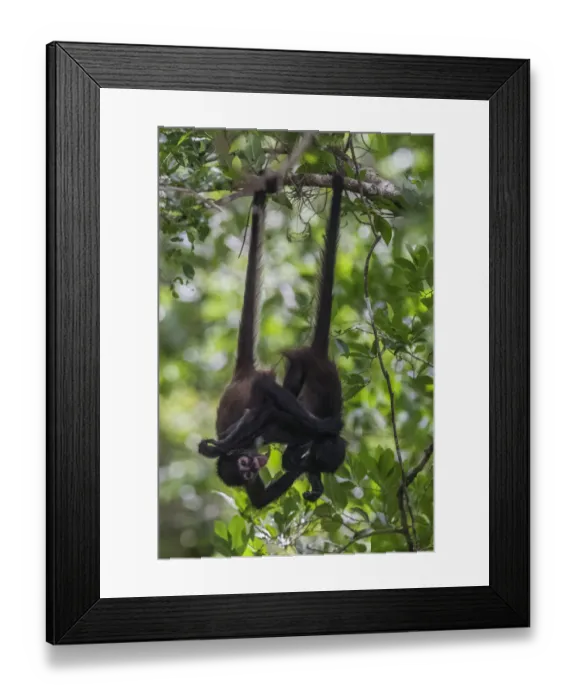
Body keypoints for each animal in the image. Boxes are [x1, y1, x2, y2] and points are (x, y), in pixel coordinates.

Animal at [200, 173, 347, 506]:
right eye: (244, 472)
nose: (254, 465)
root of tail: (239, 375)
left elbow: (262, 412)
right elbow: (259, 500)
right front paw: (307, 469)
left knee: (271, 391)